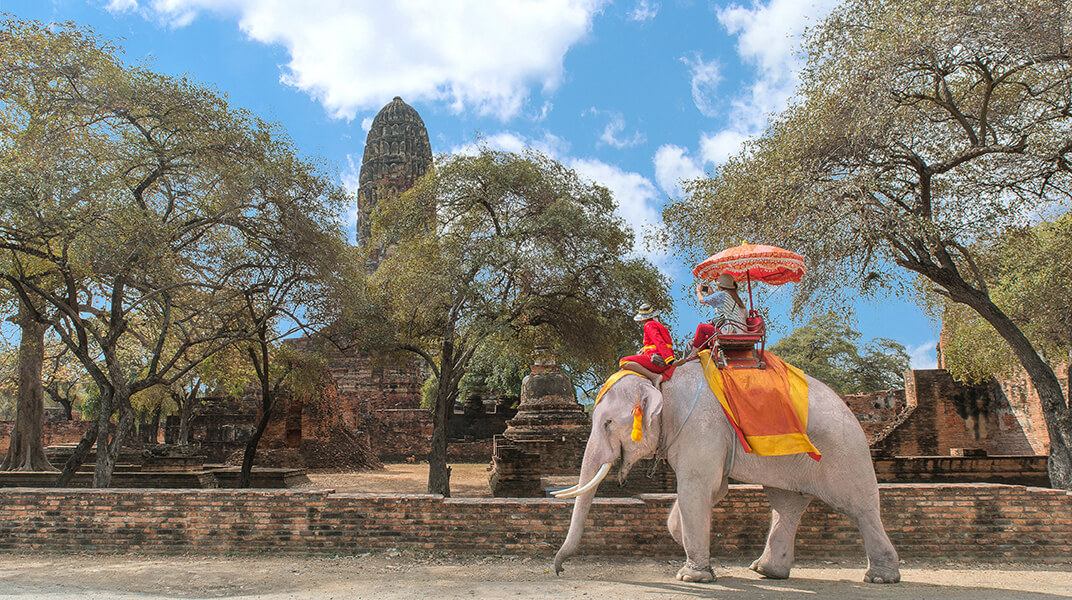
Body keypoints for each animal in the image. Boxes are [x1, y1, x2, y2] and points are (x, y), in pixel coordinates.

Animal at [557, 357, 900, 582]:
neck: (659, 380)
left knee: (859, 507)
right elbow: (711, 490)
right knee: (786, 504)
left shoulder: (699, 428)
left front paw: (692, 577)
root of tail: (849, 409)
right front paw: (697, 555)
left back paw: (881, 577)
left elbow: (697, 487)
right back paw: (766, 571)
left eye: (607, 423)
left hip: (843, 453)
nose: (560, 569)